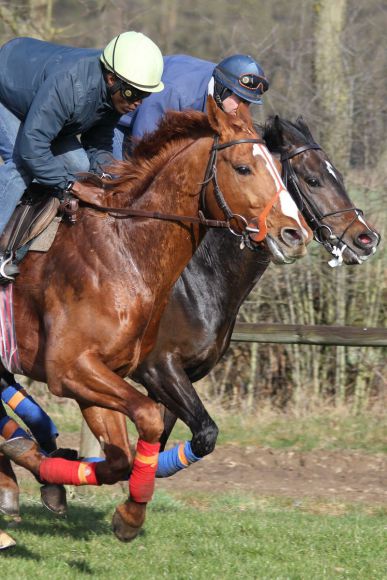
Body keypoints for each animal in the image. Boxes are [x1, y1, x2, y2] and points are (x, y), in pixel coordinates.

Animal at [0, 98, 312, 540]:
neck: (124, 251)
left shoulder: (104, 373)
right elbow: (148, 420)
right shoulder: (81, 368)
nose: (295, 234)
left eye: (276, 167)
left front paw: (72, 484)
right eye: (243, 168)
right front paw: (126, 509)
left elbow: (125, 457)